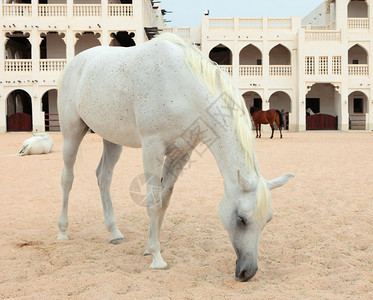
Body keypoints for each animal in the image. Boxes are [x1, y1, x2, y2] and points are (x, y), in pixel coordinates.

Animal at [56, 33, 292, 282]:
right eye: (241, 219)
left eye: (268, 220)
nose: (248, 272)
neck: (184, 89)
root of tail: (75, 62)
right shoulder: (152, 149)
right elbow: (153, 202)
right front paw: (156, 258)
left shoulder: (181, 154)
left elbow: (164, 200)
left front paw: (150, 247)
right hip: (71, 133)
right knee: (67, 179)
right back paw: (62, 231)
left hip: (112, 140)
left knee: (104, 177)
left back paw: (114, 232)